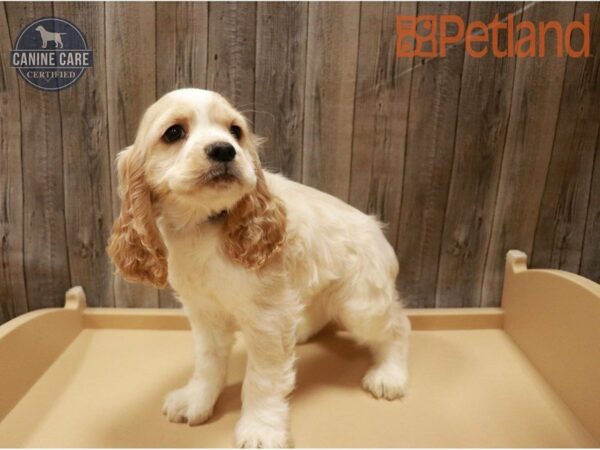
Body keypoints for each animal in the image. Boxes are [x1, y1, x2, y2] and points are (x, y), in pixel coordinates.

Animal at [108, 88, 410, 446]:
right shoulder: (205, 313)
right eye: (174, 133)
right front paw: (196, 400)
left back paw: (390, 375)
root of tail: (377, 230)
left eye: (235, 131)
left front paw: (260, 429)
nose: (224, 149)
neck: (204, 226)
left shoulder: (268, 318)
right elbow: (207, 362)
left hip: (362, 303)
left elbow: (262, 381)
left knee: (398, 326)